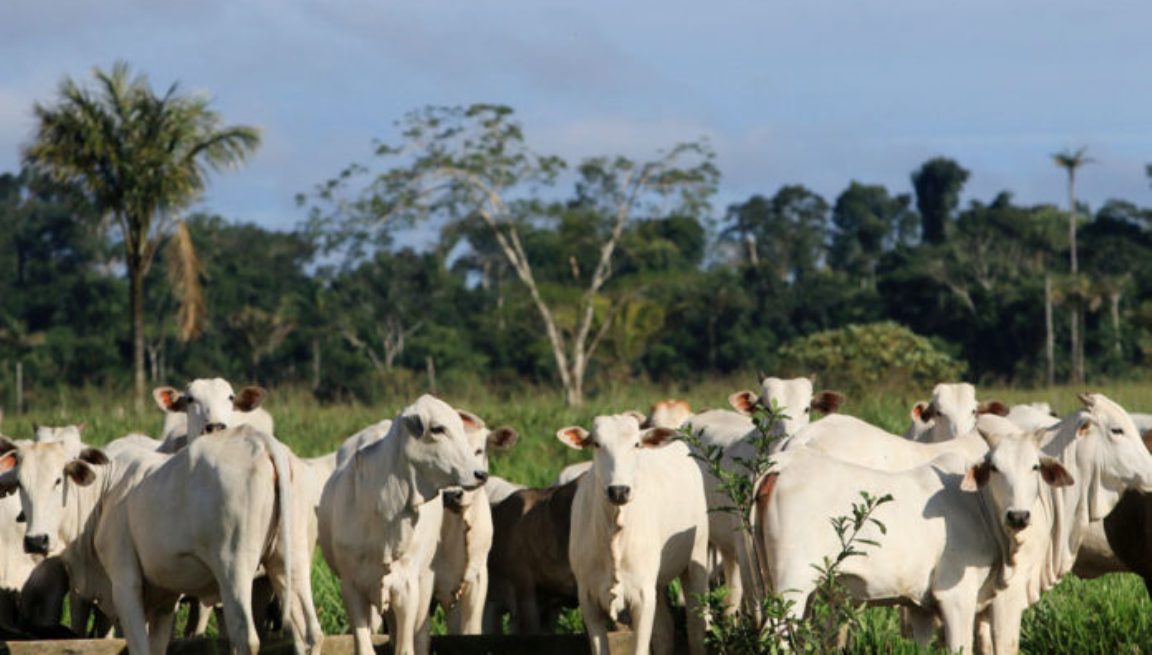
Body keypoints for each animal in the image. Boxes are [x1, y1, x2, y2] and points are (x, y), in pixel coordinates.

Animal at [0, 425, 322, 653]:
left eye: (58, 479)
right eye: (20, 484)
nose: (36, 541)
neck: (103, 496)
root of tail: (262, 442)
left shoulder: (125, 584)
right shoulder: (165, 599)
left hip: (234, 569)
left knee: (245, 638)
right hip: (290, 564)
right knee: (309, 634)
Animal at [317, 393, 488, 653]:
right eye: (437, 429)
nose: (480, 474)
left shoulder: (407, 588)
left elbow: (406, 647)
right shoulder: (351, 588)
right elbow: (364, 647)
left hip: (424, 585)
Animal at [557, 414, 709, 653]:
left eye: (636, 444)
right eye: (596, 444)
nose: (618, 490)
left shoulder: (642, 596)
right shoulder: (588, 597)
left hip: (696, 557)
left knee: (695, 627)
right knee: (664, 631)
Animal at [755, 423, 1069, 649]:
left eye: (1035, 467)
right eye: (994, 468)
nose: (1018, 516)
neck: (979, 507)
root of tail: (782, 464)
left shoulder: (920, 607)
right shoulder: (956, 597)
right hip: (793, 584)